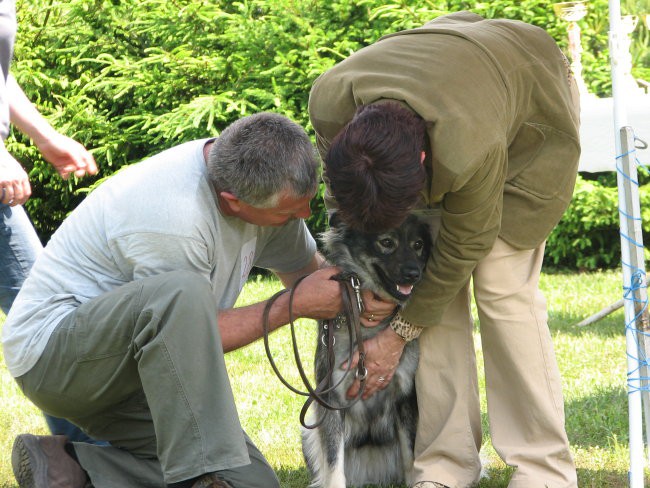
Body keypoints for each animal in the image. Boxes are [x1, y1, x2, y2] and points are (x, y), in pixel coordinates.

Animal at [302, 214, 432, 488]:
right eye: (387, 242)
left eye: (418, 245)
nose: (414, 274)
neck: (370, 327)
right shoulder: (331, 400)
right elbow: (333, 463)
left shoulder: (405, 396)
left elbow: (410, 454)